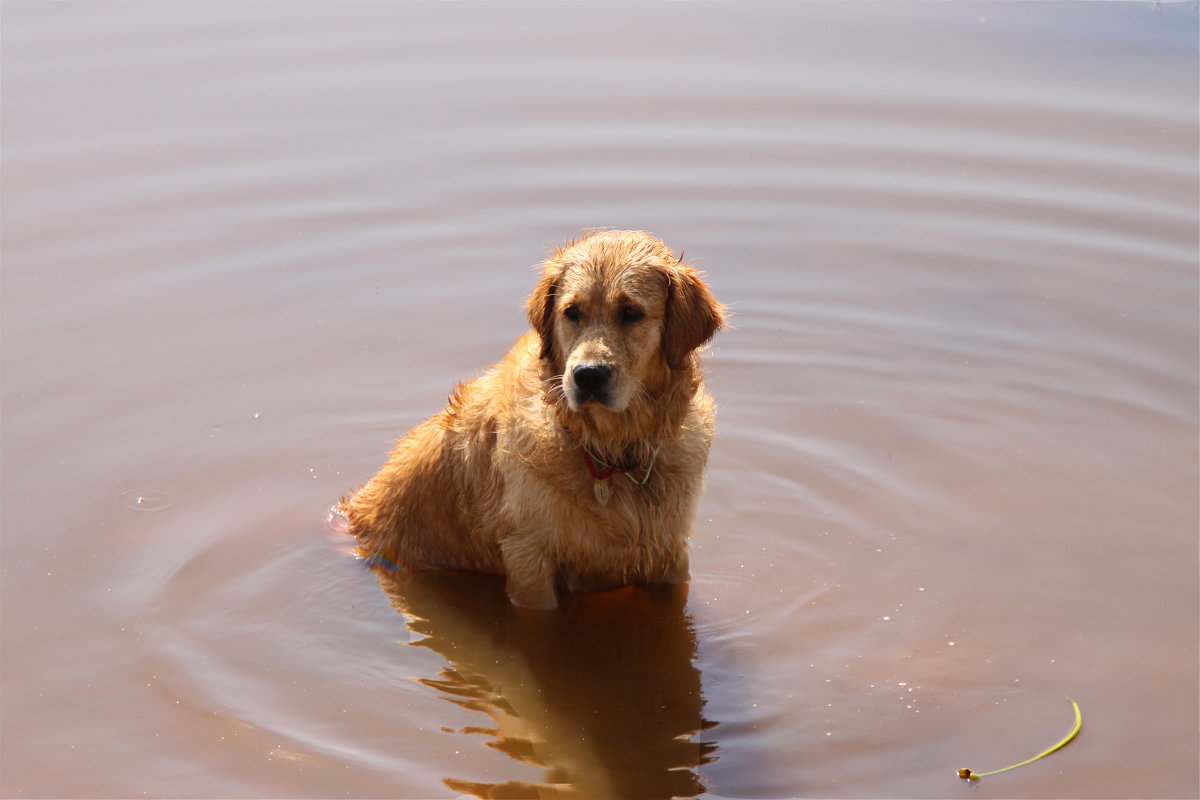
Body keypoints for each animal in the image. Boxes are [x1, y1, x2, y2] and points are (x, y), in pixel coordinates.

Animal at [343, 230, 724, 606]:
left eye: (631, 312)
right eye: (572, 312)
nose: (588, 375)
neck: (611, 451)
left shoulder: (672, 554)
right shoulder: (528, 558)